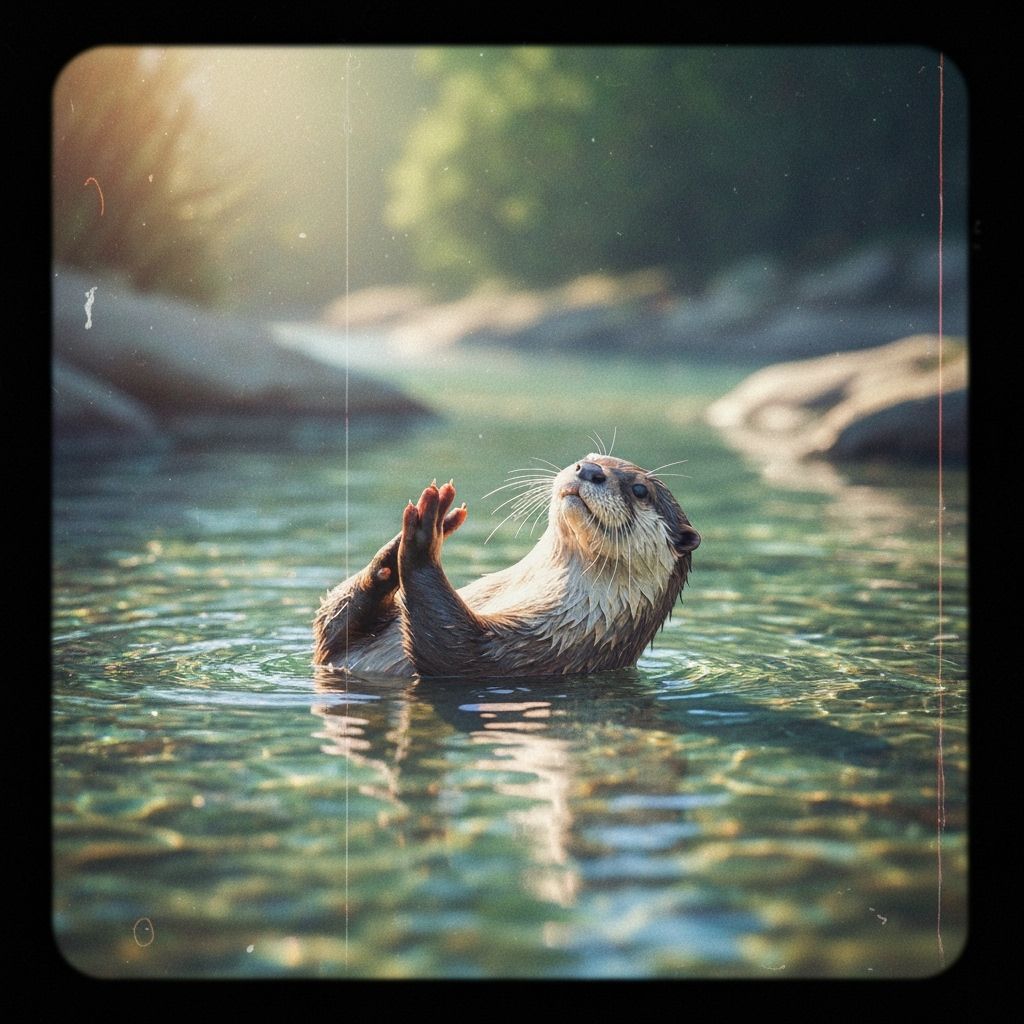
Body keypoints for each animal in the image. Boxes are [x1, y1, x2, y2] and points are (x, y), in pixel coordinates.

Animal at [313, 454, 700, 678]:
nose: (589, 470)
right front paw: (396, 549)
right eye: (587, 458)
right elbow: (329, 627)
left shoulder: (530, 651)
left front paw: (424, 537)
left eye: (640, 490)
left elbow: (453, 648)